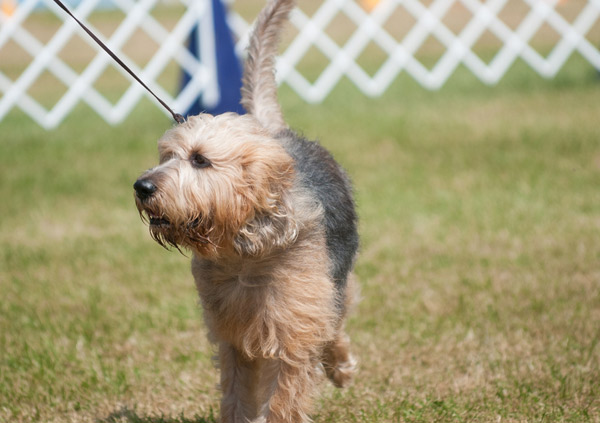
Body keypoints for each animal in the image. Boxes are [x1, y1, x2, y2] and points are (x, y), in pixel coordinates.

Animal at [134, 1, 358, 422]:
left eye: (199, 159)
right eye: (167, 156)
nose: (142, 187)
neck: (244, 247)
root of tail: (272, 130)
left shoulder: (294, 324)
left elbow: (286, 396)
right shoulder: (233, 332)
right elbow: (236, 391)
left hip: (332, 280)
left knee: (336, 317)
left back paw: (340, 364)